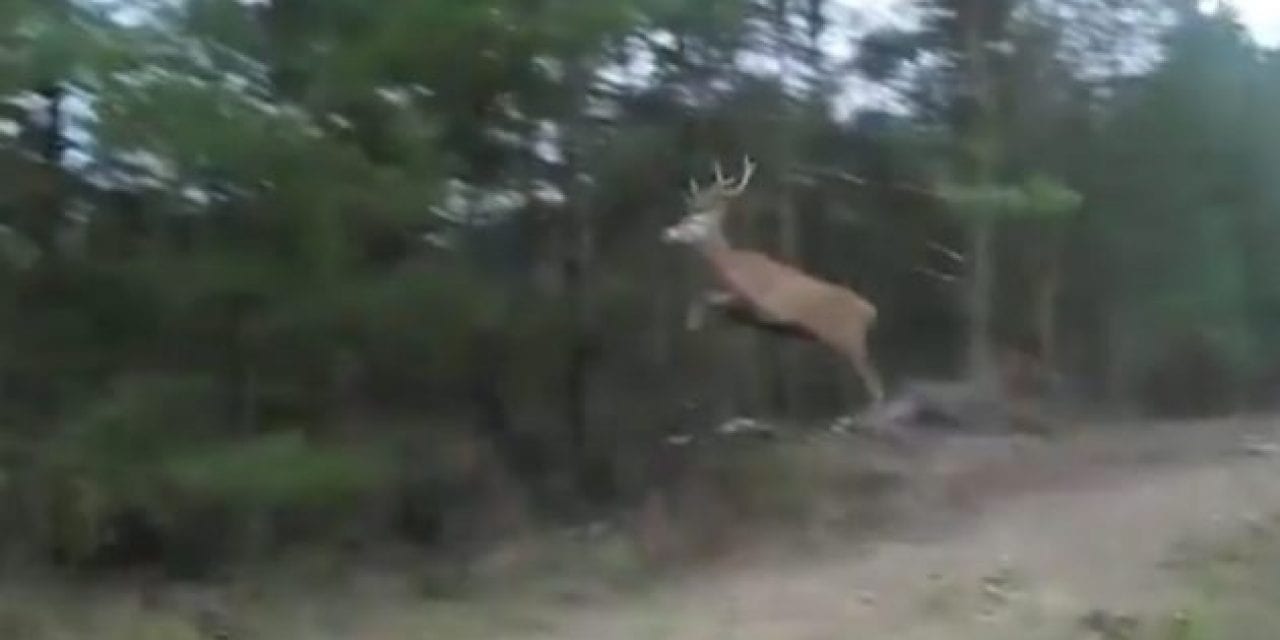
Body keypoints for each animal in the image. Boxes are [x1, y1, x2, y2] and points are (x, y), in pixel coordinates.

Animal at [665, 157, 885, 407]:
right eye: (683, 218)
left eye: (694, 221)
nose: (667, 232)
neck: (734, 266)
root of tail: (870, 311)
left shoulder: (760, 304)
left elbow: (707, 296)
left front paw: (692, 323)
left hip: (849, 338)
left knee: (875, 385)